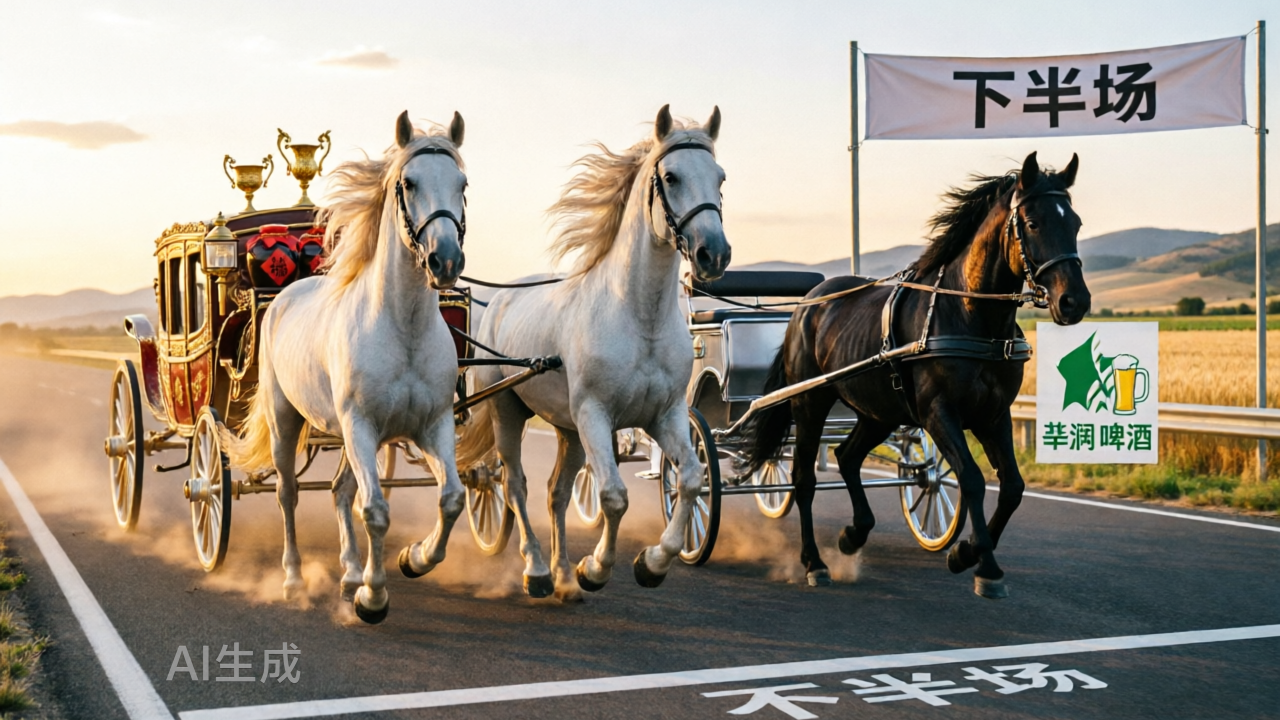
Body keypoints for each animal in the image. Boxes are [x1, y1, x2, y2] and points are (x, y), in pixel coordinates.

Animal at [226, 110, 469, 623]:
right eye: (409, 183)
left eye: (463, 183)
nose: (445, 260)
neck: (403, 329)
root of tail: (281, 298)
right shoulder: (361, 425)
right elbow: (374, 510)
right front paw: (373, 598)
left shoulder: (432, 426)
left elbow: (451, 499)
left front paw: (415, 558)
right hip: (286, 421)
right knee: (289, 493)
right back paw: (295, 578)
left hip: (343, 434)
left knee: (339, 491)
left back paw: (351, 571)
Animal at [444, 105, 731, 601]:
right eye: (671, 176)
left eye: (720, 177)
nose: (713, 253)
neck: (639, 320)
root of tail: (498, 300)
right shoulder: (595, 415)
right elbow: (614, 496)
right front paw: (595, 569)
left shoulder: (667, 414)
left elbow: (692, 479)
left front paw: (652, 563)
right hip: (509, 410)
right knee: (514, 487)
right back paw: (539, 570)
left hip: (567, 428)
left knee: (555, 492)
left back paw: (561, 575)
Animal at [739, 152, 1089, 599]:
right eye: (1032, 223)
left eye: (1075, 222)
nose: (1075, 301)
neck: (971, 316)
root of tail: (807, 304)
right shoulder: (937, 412)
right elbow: (972, 479)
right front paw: (983, 565)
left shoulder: (994, 415)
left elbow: (1011, 486)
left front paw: (966, 552)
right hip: (810, 401)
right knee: (803, 478)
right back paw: (814, 562)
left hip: (878, 411)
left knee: (847, 456)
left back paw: (854, 534)